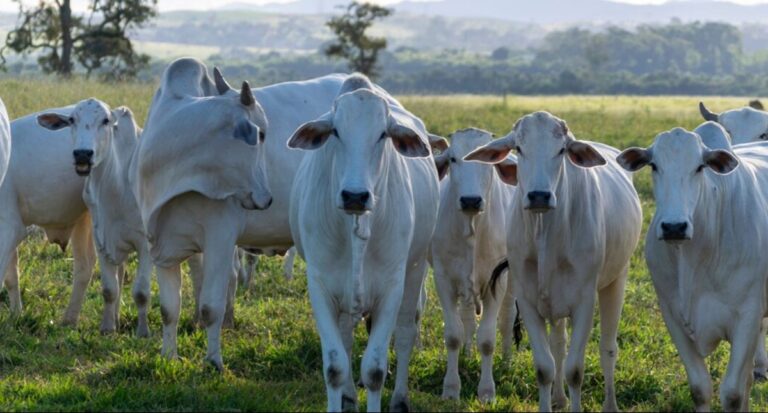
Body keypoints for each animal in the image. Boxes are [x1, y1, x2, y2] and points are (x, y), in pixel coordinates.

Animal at [288, 75, 440, 412]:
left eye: (383, 134)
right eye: (335, 132)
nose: (355, 196)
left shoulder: (391, 288)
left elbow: (374, 370)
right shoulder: (320, 286)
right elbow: (335, 366)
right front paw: (341, 396)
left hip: (416, 269)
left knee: (406, 333)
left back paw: (400, 398)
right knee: (346, 340)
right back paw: (347, 396)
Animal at [432, 127, 516, 400]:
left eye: (487, 161)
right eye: (453, 159)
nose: (470, 200)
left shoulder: (497, 281)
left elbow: (488, 339)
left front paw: (487, 390)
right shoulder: (444, 279)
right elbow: (453, 335)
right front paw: (451, 388)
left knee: (507, 318)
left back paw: (507, 361)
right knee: (467, 319)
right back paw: (467, 356)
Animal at [468, 111, 640, 410]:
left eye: (561, 150)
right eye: (519, 148)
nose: (539, 196)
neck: (546, 234)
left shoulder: (584, 302)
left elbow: (575, 370)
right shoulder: (528, 301)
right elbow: (545, 368)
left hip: (616, 280)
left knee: (608, 348)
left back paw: (609, 404)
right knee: (558, 343)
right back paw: (559, 398)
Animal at [616, 124, 768, 410]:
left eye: (699, 167)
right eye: (654, 165)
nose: (674, 226)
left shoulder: (748, 316)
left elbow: (733, 393)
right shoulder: (673, 316)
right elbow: (700, 388)